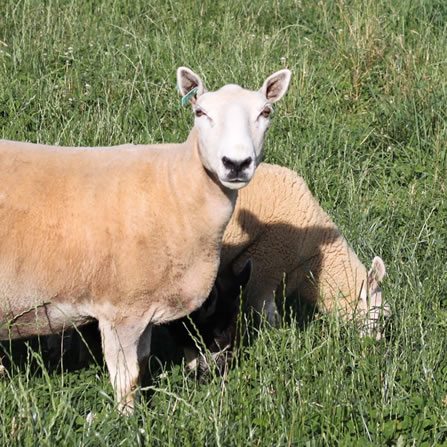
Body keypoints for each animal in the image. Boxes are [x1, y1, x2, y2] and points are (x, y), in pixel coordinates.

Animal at [0, 66, 292, 412]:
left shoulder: (145, 308)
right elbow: (126, 377)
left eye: (265, 112)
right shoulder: (120, 309)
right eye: (200, 112)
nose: (236, 164)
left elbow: (142, 362)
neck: (175, 187)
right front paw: (127, 418)